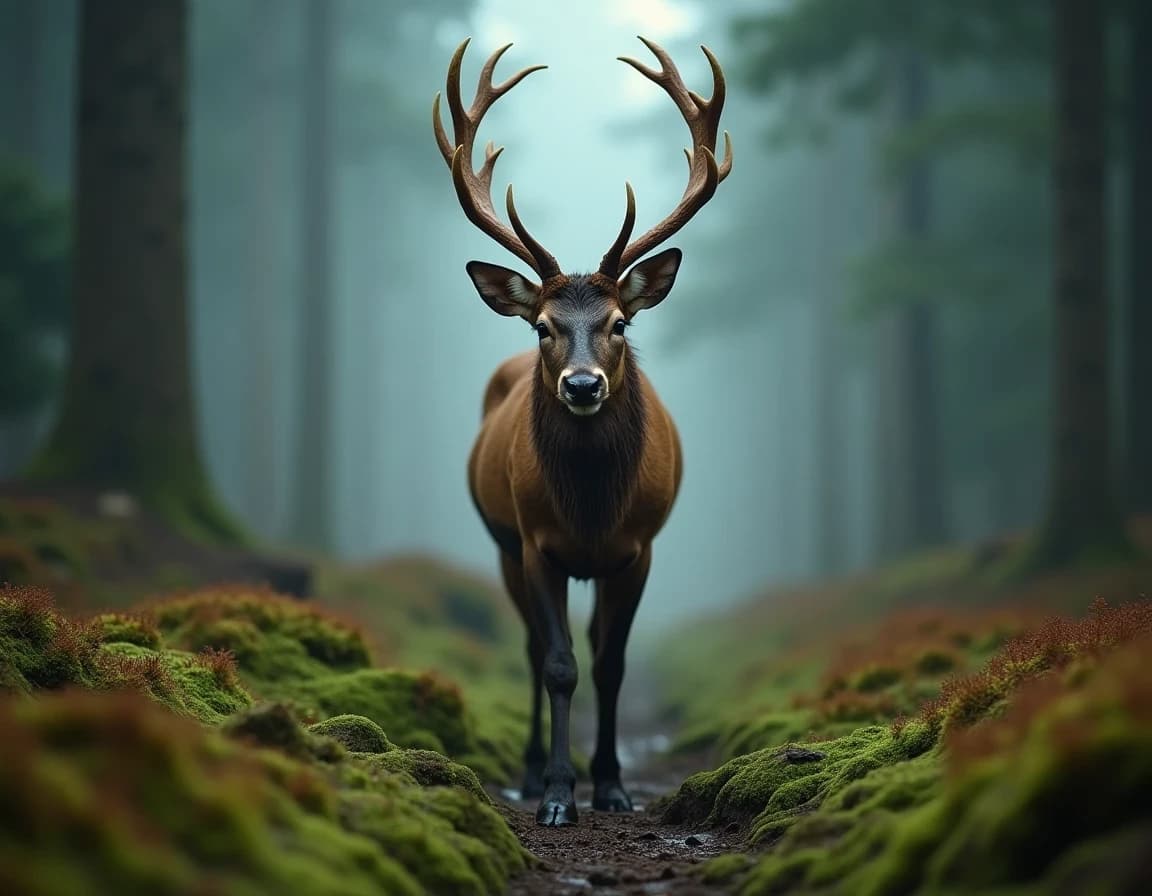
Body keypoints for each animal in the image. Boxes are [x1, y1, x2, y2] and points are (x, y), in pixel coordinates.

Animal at [433, 36, 731, 826]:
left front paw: (613, 785)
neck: (594, 506)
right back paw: (533, 768)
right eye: (542, 326)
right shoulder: (538, 542)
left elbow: (611, 662)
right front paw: (560, 794)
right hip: (503, 543)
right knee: (531, 648)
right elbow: (560, 664)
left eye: (619, 322)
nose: (583, 385)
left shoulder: (639, 548)